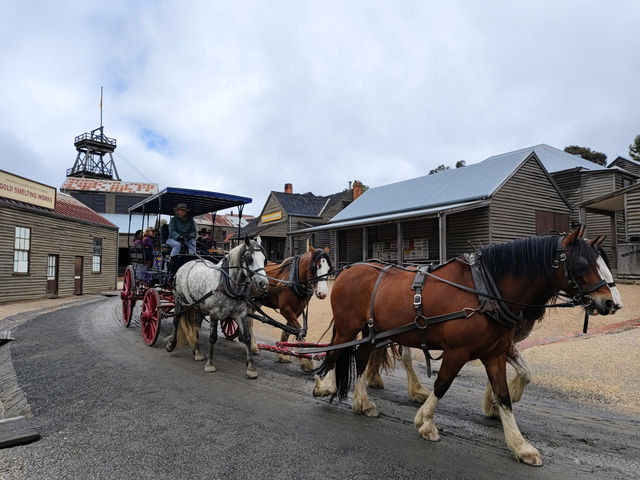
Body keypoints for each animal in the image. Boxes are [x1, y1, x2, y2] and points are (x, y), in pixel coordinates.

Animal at [166, 236, 268, 378]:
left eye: (264, 259)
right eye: (250, 259)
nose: (263, 283)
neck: (226, 282)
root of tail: (186, 263)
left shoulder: (241, 314)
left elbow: (247, 337)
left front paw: (251, 368)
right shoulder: (214, 314)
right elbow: (213, 337)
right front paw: (210, 363)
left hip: (199, 306)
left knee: (196, 325)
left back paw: (197, 352)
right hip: (179, 299)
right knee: (176, 320)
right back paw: (172, 344)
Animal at [364, 232, 624, 416]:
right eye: (582, 265)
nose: (613, 303)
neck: (492, 289)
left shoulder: (501, 343)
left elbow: (523, 373)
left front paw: (496, 404)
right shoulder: (500, 343)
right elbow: (521, 374)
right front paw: (496, 404)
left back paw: (379, 379)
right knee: (399, 354)